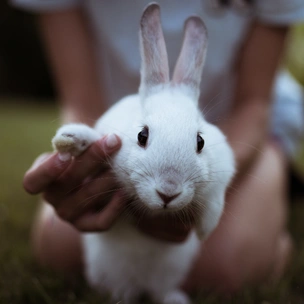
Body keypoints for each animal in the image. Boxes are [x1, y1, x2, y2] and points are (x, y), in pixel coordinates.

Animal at [52, 2, 235, 304]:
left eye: (200, 142)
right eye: (142, 136)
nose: (168, 192)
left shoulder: (222, 172)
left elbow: (214, 201)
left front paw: (205, 229)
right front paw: (69, 140)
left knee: (160, 290)